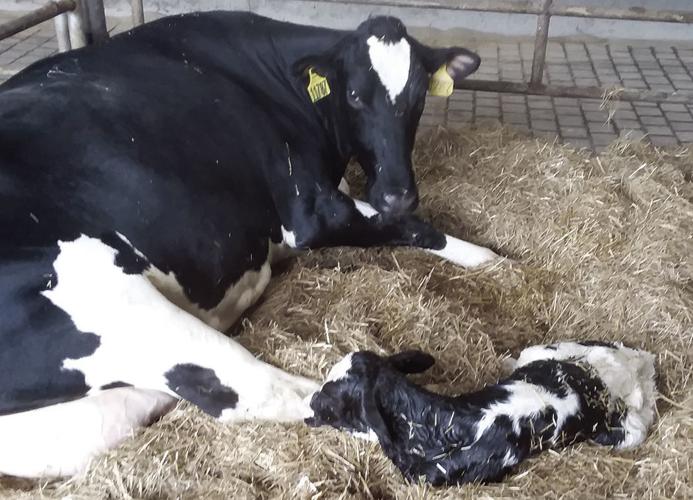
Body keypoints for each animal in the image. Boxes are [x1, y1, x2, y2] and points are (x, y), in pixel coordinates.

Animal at [0, 11, 498, 477]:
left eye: (419, 96)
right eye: (355, 95)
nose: (399, 193)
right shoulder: (308, 212)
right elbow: (415, 227)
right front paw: (491, 258)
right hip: (107, 295)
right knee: (273, 393)